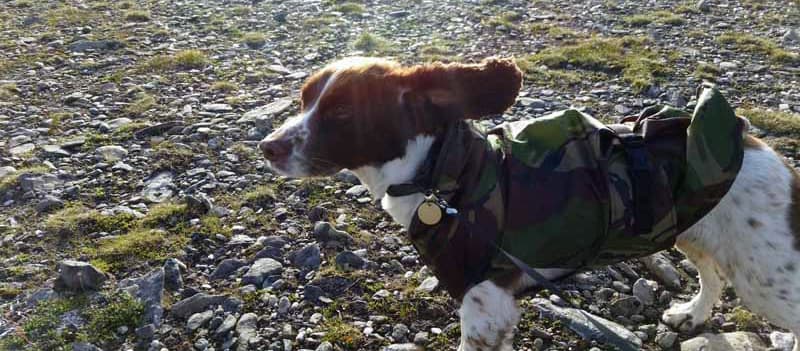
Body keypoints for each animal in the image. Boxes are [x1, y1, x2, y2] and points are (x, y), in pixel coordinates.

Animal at [258, 56, 800, 350]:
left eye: (342, 113)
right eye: (303, 99)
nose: (267, 146)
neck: (444, 176)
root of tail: (757, 143)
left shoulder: (485, 306)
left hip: (768, 280)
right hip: (691, 228)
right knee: (713, 275)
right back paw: (692, 315)